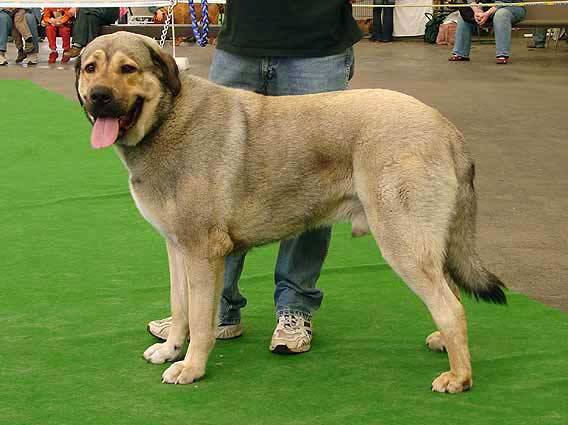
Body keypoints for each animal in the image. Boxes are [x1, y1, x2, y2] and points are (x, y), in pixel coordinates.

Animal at [74, 32, 506, 390]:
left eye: (128, 69)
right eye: (91, 68)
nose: (98, 96)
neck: (167, 119)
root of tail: (446, 128)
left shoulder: (202, 253)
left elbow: (199, 318)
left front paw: (191, 367)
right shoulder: (177, 248)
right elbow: (180, 308)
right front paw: (170, 350)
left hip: (403, 241)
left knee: (450, 308)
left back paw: (459, 376)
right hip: (422, 242)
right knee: (450, 292)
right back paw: (442, 345)